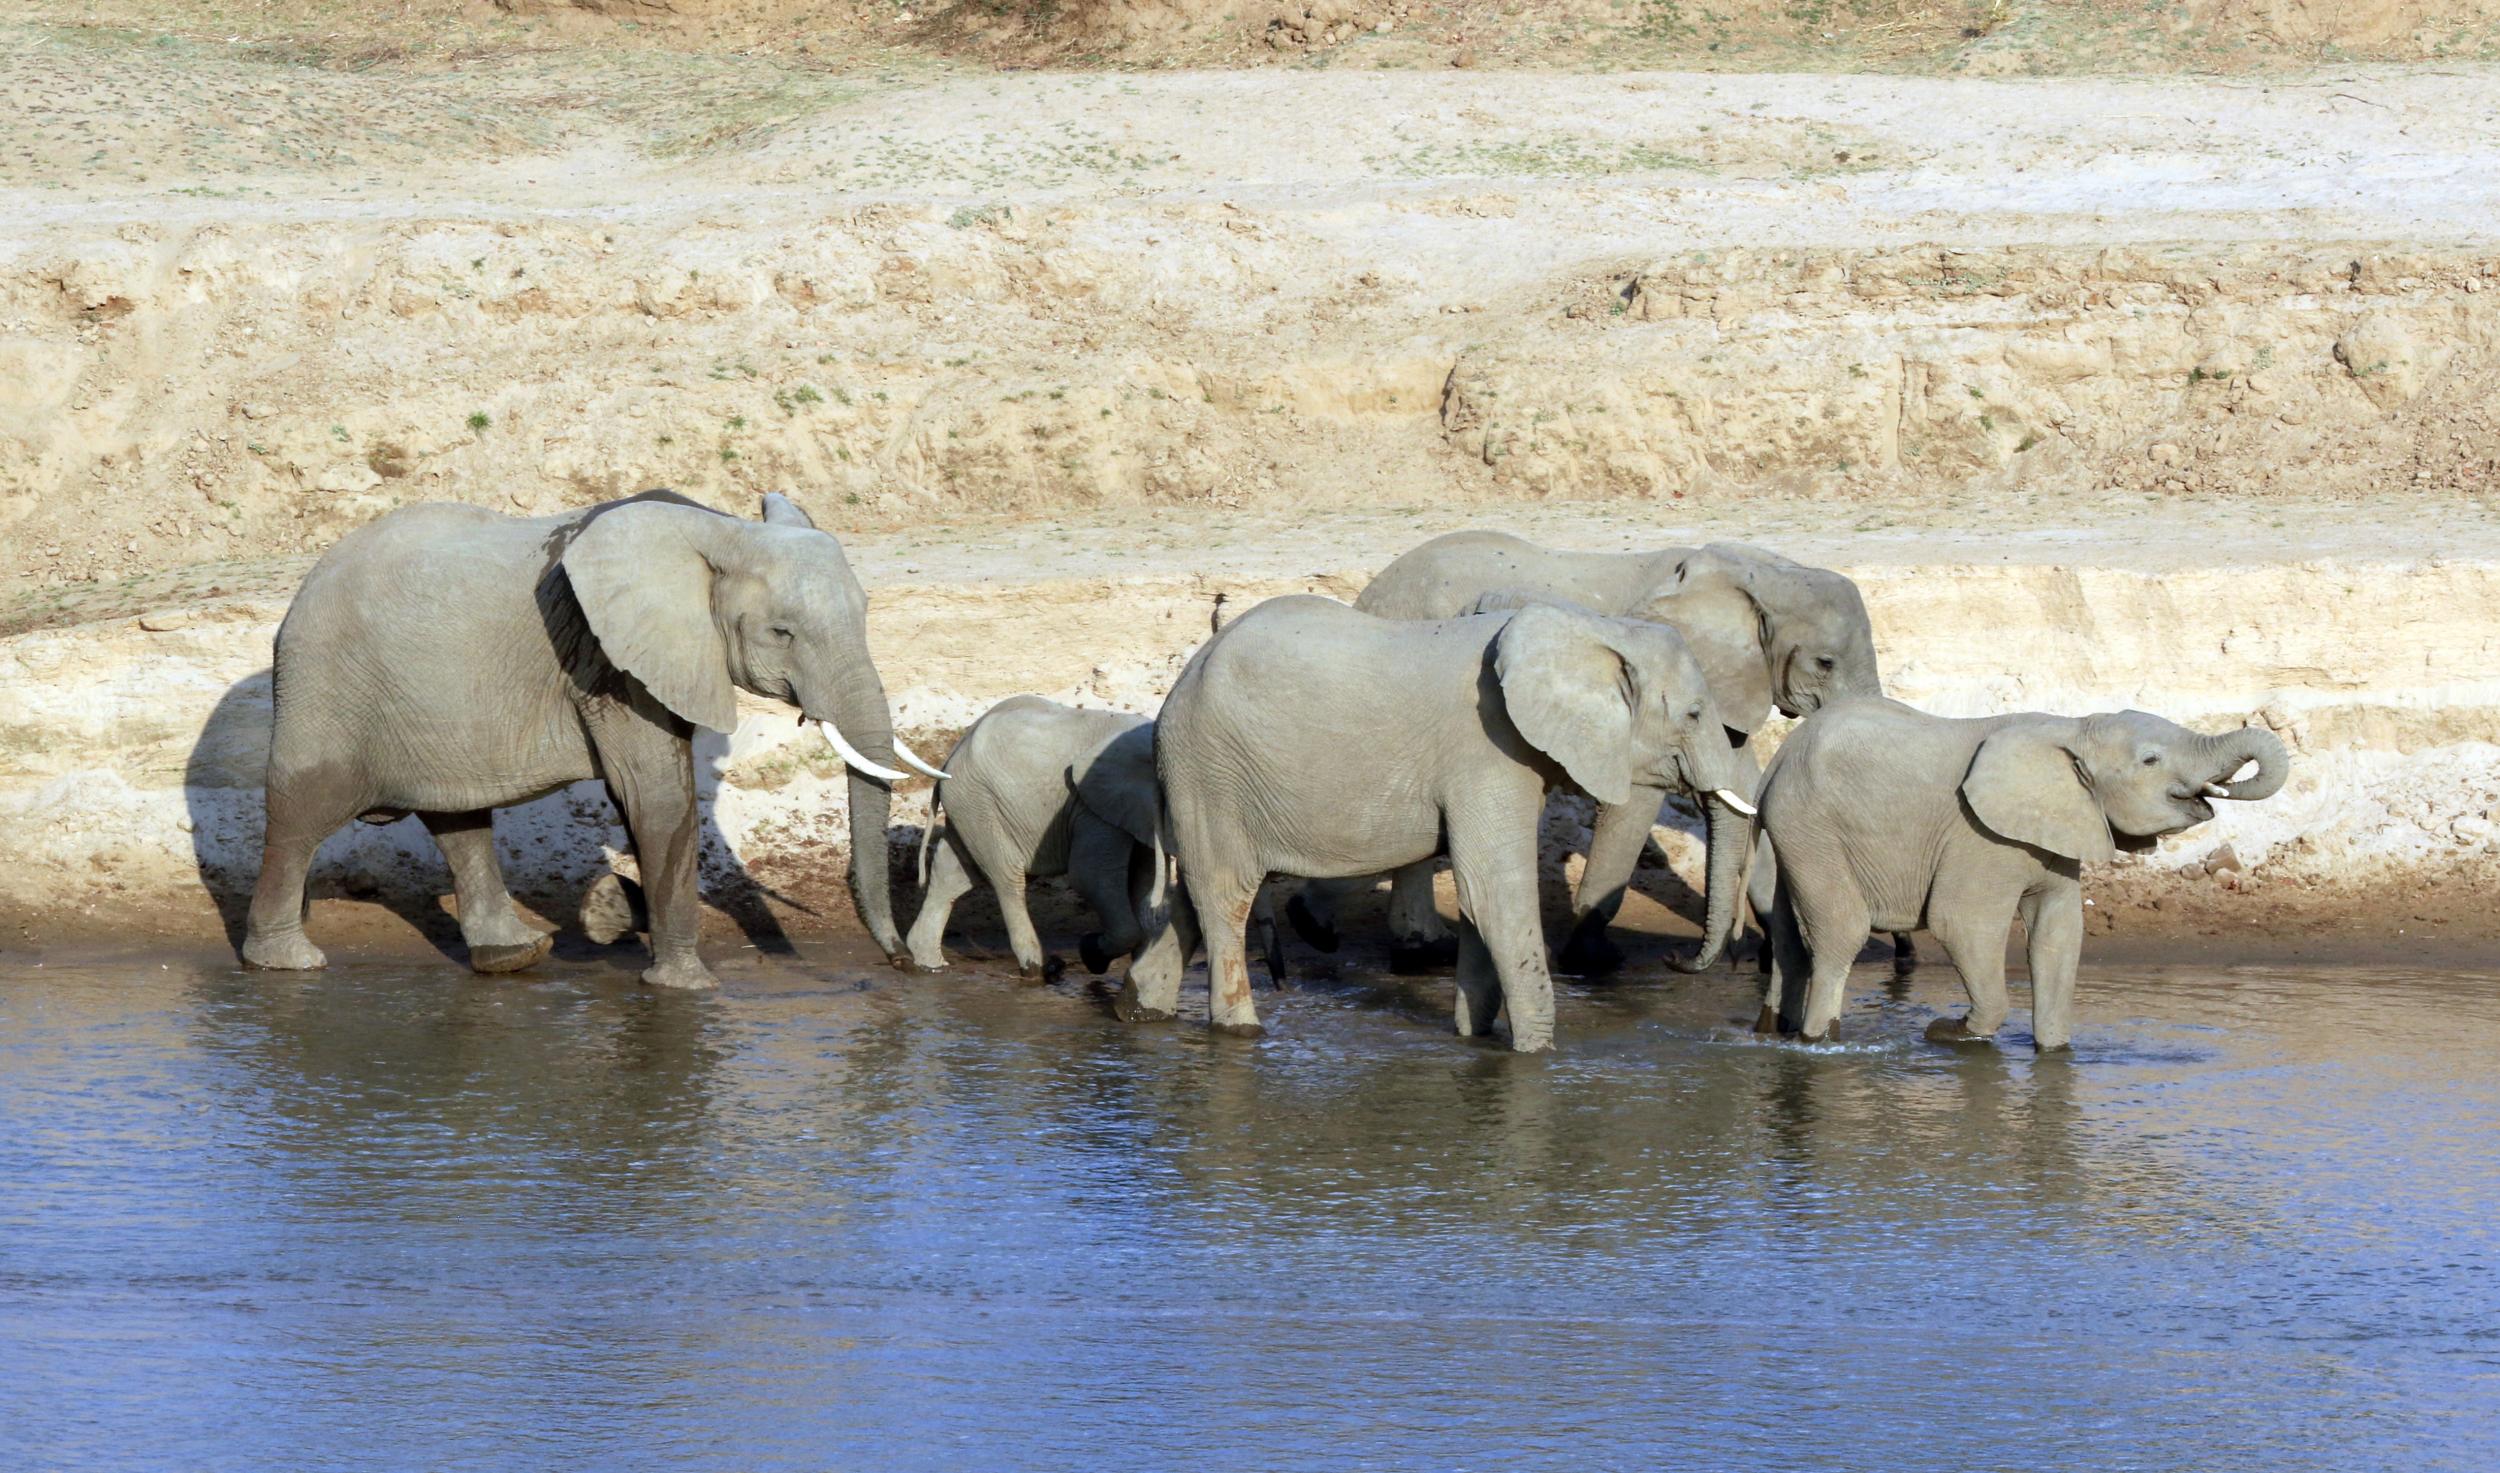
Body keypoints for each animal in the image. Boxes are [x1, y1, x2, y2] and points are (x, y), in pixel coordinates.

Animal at [238, 490, 940, 990]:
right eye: (782, 633)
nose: (903, 964)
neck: (717, 530)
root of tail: (299, 593)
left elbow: (649, 798)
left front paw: (613, 915)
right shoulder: (607, 659)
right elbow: (655, 796)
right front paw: (686, 986)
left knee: (458, 821)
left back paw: (515, 955)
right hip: (325, 688)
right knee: (302, 815)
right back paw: (286, 964)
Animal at [900, 695, 1170, 980]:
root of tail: (954, 750)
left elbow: (1142, 878)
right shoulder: (1093, 806)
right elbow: (1090, 877)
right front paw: (1091, 953)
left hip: (971, 806)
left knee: (953, 871)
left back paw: (928, 963)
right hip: (981, 803)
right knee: (1008, 878)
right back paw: (1038, 970)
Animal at [1135, 592, 1760, 1050]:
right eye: (1694, 714)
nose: (1680, 960)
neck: (1595, 627)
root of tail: (1177, 687)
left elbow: (1479, 901)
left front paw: (1474, 1040)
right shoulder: (1487, 749)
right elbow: (1495, 896)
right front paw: (1534, 1057)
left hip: (1203, 783)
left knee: (1190, 904)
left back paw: (1140, 1012)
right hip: (1211, 770)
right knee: (1224, 900)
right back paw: (1240, 1031)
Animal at [1290, 527, 1890, 975]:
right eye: (1826, 662)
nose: (1678, 959)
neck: (1765, 572)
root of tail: (1368, 591)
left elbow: (1741, 787)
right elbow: (1641, 798)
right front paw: (1593, 958)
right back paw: (1346, 936)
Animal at [1750, 700, 2290, 1045]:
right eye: (2151, 760)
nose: (2214, 791)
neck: (2073, 728)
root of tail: (1776, 759)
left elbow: (2058, 934)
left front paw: (2052, 1050)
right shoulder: (1979, 835)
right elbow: (1961, 923)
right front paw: (1951, 1033)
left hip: (1795, 832)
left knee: (1788, 938)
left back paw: (1775, 1031)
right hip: (1810, 824)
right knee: (1841, 934)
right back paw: (1819, 1041)